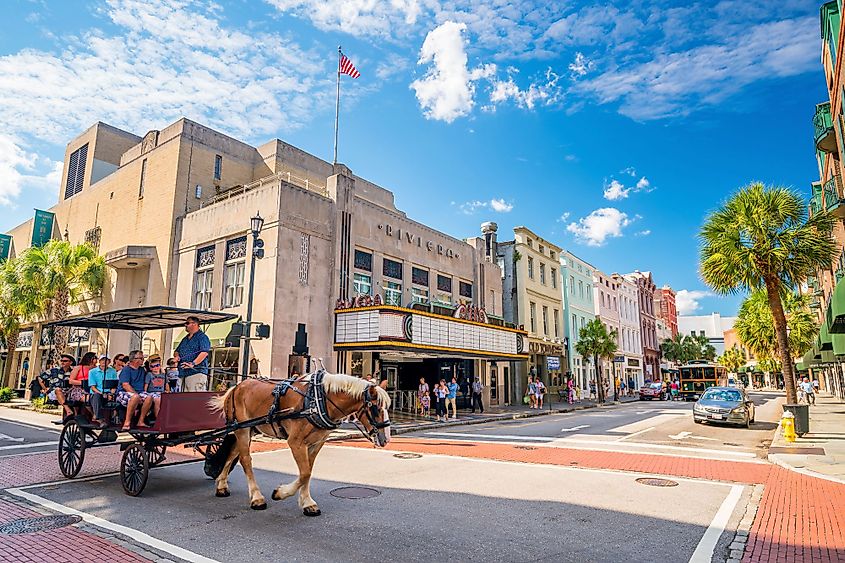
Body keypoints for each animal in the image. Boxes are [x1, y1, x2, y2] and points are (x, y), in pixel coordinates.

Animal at [206, 372, 390, 516]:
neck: (318, 399)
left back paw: (221, 485)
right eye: (375, 407)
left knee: (232, 453)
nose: (386, 439)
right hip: (243, 430)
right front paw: (280, 493)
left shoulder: (316, 443)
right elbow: (305, 473)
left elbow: (308, 471)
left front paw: (308, 503)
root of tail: (236, 387)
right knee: (245, 460)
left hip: (250, 429)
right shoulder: (295, 442)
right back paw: (257, 498)